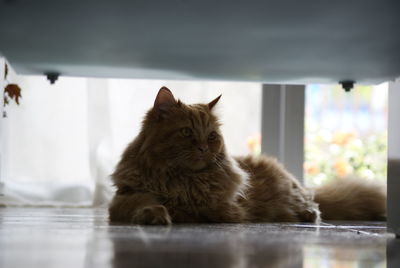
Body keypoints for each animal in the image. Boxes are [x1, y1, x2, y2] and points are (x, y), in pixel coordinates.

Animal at [108, 87, 386, 224]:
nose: (203, 148)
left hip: (295, 194)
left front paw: (173, 212)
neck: (183, 179)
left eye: (212, 136)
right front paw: (154, 214)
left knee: (314, 207)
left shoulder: (224, 210)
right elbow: (144, 202)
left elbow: (193, 208)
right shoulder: (125, 196)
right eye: (186, 132)